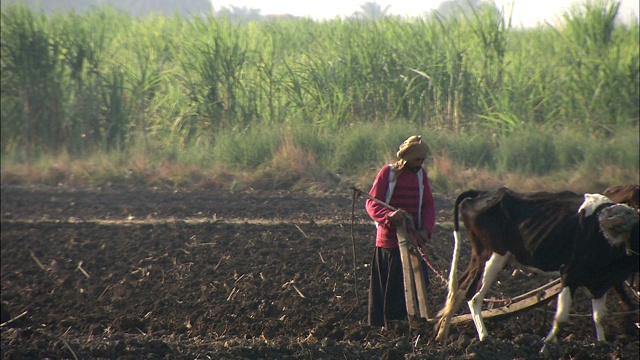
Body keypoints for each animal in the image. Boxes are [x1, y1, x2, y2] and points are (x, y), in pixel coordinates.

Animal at [432, 187, 636, 352]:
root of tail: (482, 193)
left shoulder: (601, 282)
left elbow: (599, 317)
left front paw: (602, 345)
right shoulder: (570, 274)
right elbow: (561, 317)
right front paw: (544, 345)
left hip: (479, 257)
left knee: (458, 289)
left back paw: (442, 335)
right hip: (493, 256)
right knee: (473, 296)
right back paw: (484, 338)